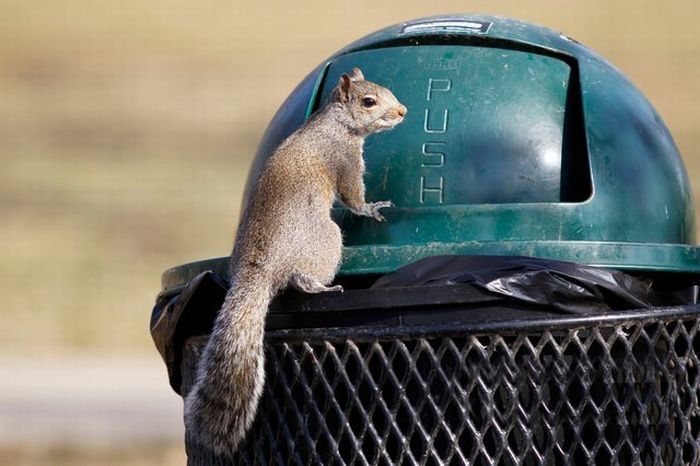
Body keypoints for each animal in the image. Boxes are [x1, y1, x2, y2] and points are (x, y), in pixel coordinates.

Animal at [183, 66, 408, 456]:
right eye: (369, 101)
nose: (402, 112)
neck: (334, 123)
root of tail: (256, 272)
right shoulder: (344, 159)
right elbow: (353, 197)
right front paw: (372, 208)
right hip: (326, 240)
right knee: (301, 279)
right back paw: (322, 286)